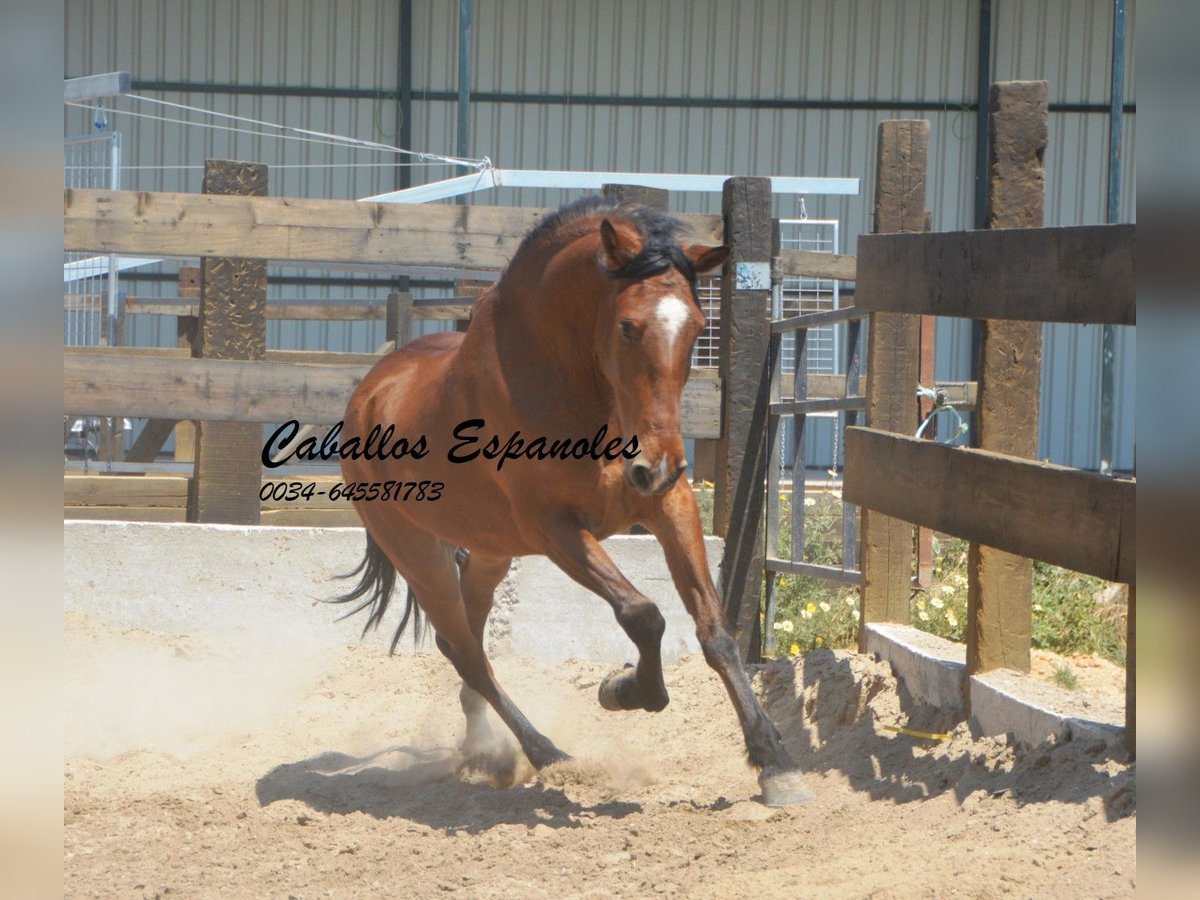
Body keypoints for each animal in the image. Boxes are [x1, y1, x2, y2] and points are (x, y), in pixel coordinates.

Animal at [333, 194, 811, 806]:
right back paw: (546, 754)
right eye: (628, 328)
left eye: (699, 326)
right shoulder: (554, 528)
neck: (572, 389)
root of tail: (368, 391)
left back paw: (483, 751)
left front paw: (775, 762)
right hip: (416, 552)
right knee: (466, 652)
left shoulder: (669, 506)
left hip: (489, 553)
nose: (659, 465)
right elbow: (643, 614)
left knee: (466, 645)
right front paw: (625, 689)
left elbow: (716, 632)